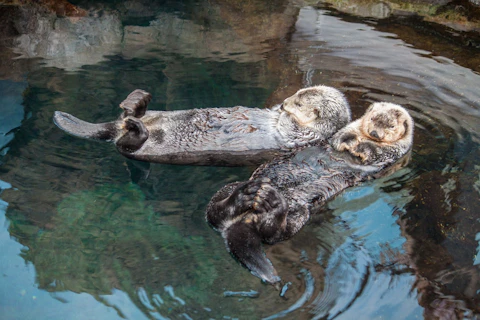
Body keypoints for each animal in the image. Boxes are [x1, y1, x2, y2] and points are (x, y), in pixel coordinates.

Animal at [53, 85, 352, 165]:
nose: (286, 101)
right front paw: (276, 107)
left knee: (126, 145)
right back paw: (136, 101)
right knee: (126, 118)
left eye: (300, 102)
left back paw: (136, 126)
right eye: (299, 93)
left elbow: (292, 129)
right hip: (146, 116)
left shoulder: (303, 137)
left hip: (139, 148)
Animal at [204, 101, 414, 284]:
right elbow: (341, 136)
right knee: (215, 213)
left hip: (299, 212)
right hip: (232, 188)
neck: (364, 137)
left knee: (274, 233)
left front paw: (363, 147)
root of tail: (244, 221)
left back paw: (273, 201)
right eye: (373, 118)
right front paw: (348, 140)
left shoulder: (393, 154)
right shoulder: (346, 129)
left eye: (391, 126)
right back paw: (246, 194)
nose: (374, 133)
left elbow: (376, 153)